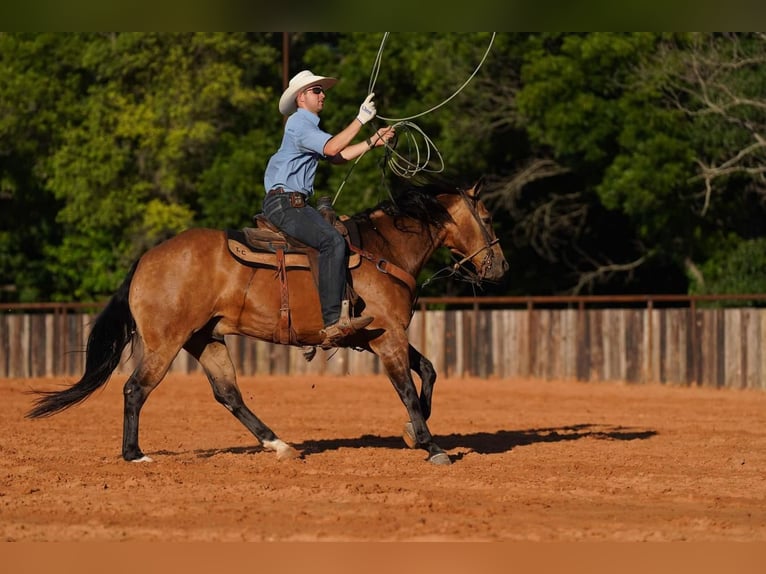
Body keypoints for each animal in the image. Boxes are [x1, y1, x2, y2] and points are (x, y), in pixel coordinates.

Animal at [27, 179, 510, 468]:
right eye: (487, 218)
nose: (501, 266)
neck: (382, 250)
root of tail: (146, 260)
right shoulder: (387, 335)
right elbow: (408, 388)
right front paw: (431, 445)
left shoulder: (383, 334)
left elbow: (428, 370)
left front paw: (414, 431)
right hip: (166, 343)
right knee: (135, 389)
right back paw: (134, 455)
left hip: (206, 340)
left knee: (229, 394)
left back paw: (279, 444)